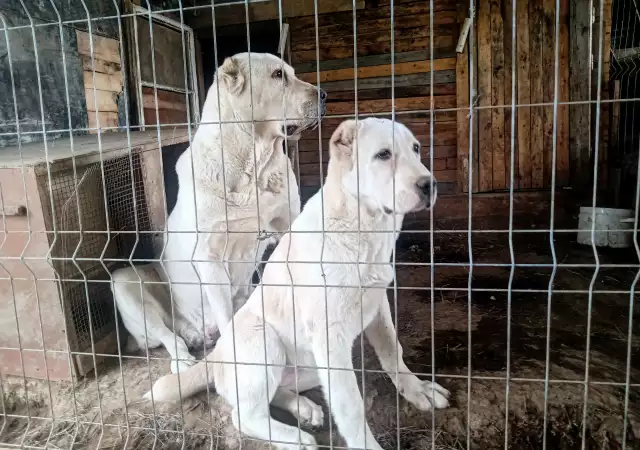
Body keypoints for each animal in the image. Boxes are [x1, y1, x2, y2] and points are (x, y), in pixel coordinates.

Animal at [109, 51, 324, 372]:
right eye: (278, 75)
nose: (324, 95)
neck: (251, 165)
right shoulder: (208, 257)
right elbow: (225, 315)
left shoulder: (287, 222)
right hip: (124, 282)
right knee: (167, 334)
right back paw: (183, 357)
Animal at [146, 118, 450, 448]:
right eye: (383, 154)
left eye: (416, 149)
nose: (429, 185)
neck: (363, 229)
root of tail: (215, 359)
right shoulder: (331, 340)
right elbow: (351, 407)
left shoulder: (377, 304)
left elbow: (393, 350)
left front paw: (417, 390)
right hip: (263, 338)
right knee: (243, 416)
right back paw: (295, 437)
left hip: (312, 367)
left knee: (274, 393)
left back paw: (303, 408)